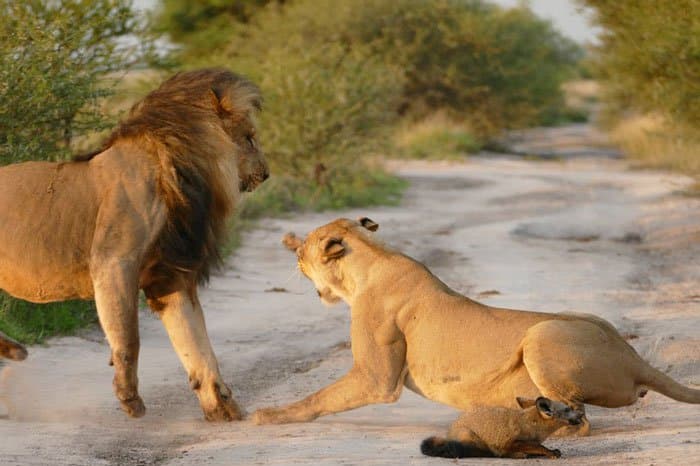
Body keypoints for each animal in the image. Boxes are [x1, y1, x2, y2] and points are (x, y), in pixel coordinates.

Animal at [0, 69, 268, 422]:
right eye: (249, 138)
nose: (266, 174)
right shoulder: (114, 262)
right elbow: (129, 336)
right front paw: (130, 398)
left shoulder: (169, 277)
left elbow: (197, 344)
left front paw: (222, 406)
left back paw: (14, 350)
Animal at [254, 218, 700, 436]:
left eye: (305, 246)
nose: (293, 254)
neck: (372, 259)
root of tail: (634, 357)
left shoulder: (376, 377)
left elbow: (317, 398)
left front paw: (268, 415)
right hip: (578, 316)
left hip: (542, 334)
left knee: (581, 420)